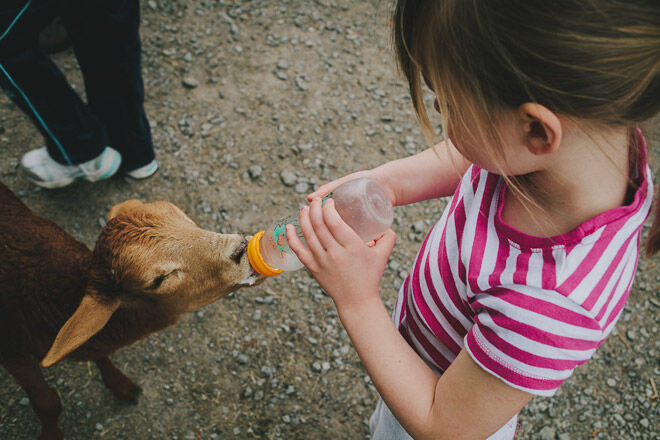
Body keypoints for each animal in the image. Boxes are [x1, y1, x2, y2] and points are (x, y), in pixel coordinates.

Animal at [0, 180, 262, 438]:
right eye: (157, 280)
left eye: (182, 216)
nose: (241, 249)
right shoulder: (14, 353)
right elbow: (47, 403)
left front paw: (122, 386)